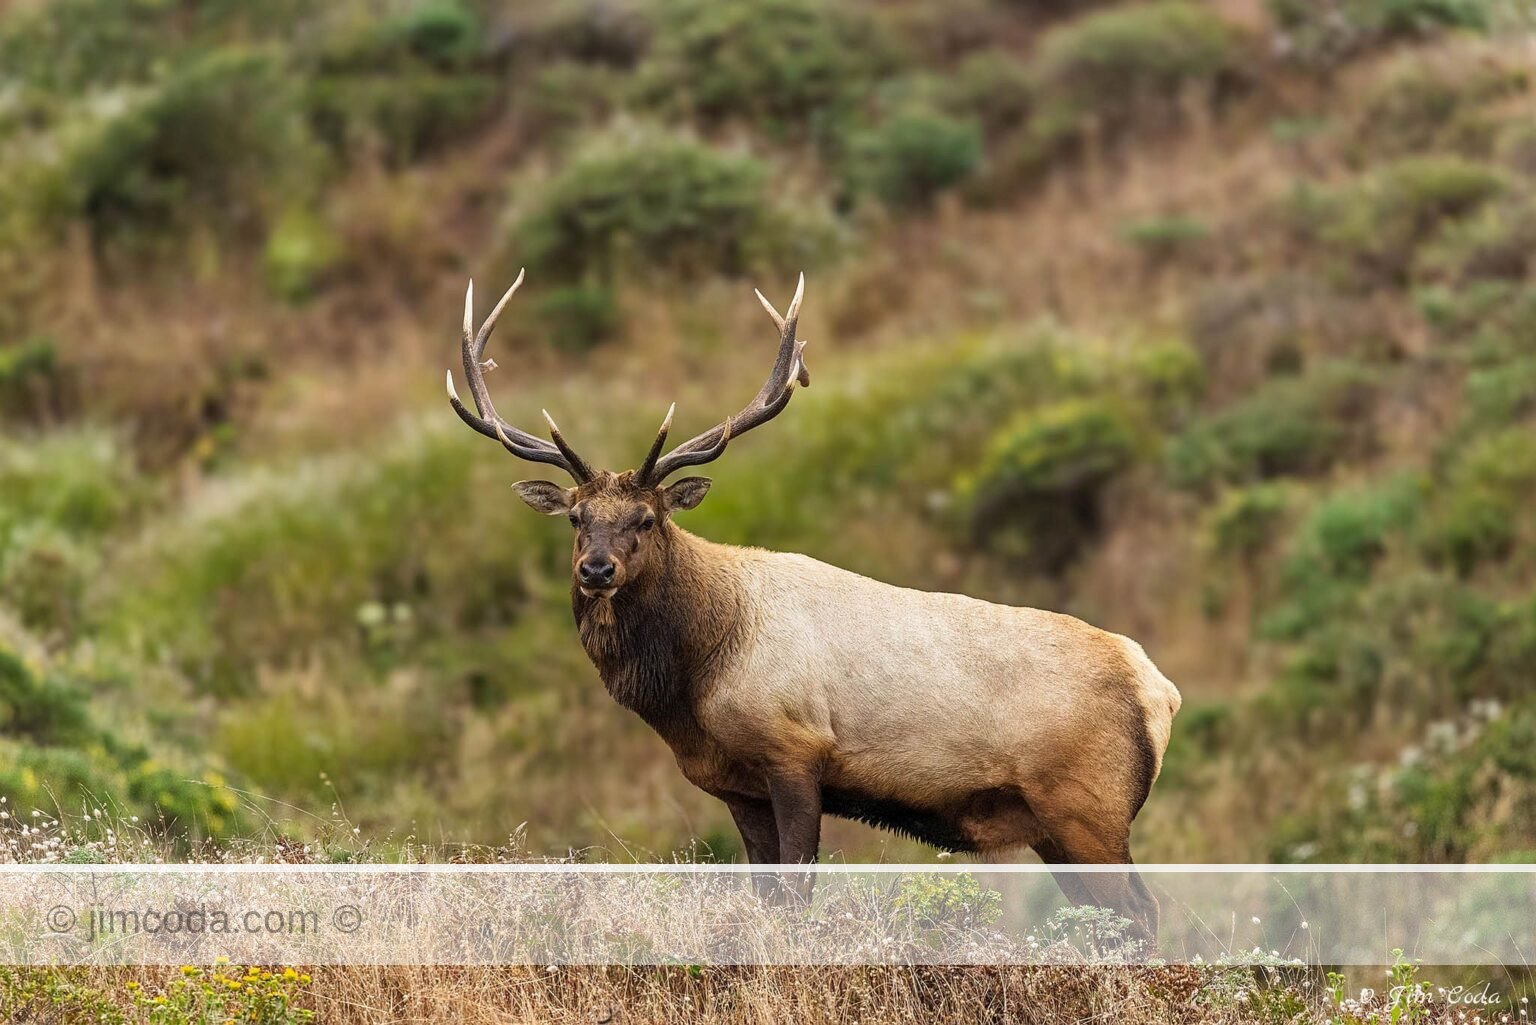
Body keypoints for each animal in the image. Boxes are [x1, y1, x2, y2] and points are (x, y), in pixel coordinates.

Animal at [446, 271, 1183, 942]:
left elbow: (798, 894)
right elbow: (765, 897)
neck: (699, 676)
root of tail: (1159, 690)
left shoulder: (795, 749)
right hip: (1056, 825)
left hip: (1087, 807)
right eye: (576, 517)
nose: (596, 569)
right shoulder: (738, 783)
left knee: (1143, 912)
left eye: (647, 519)